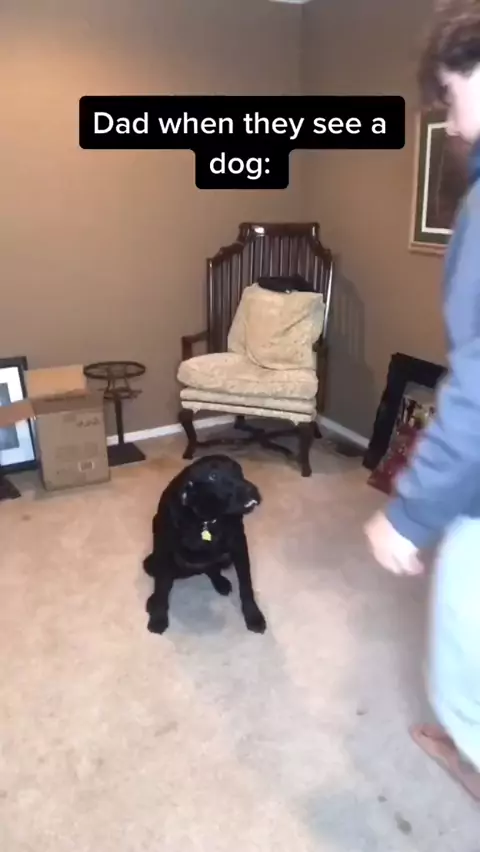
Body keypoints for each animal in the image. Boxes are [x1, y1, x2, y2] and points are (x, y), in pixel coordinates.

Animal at [143, 453, 266, 635]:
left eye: (239, 470)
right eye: (213, 476)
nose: (253, 491)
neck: (206, 519)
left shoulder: (239, 546)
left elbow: (246, 586)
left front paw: (253, 615)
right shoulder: (164, 549)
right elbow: (161, 587)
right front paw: (158, 616)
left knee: (211, 568)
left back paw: (220, 582)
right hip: (150, 562)